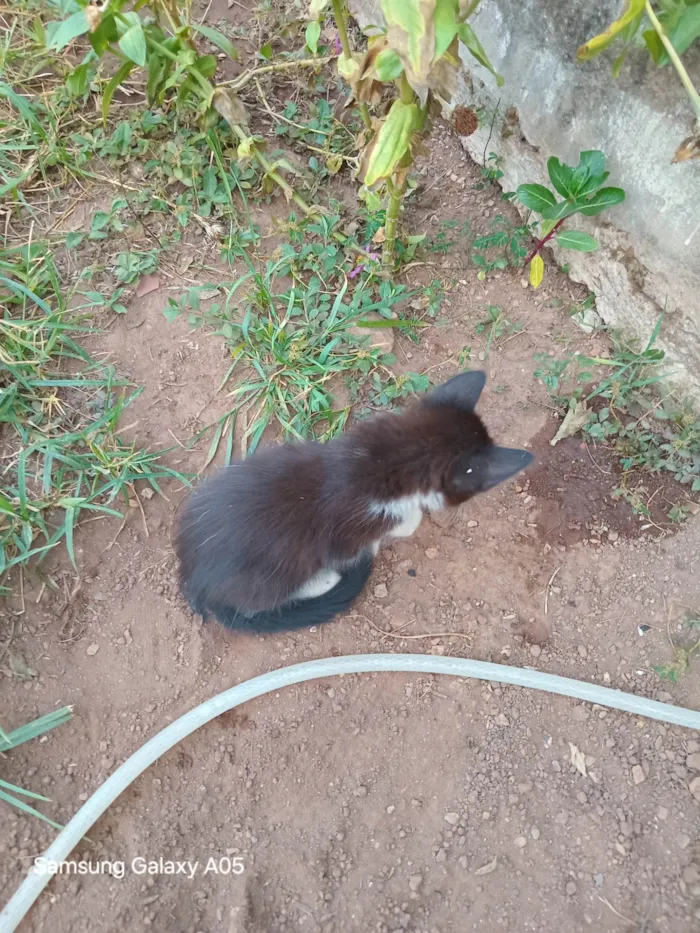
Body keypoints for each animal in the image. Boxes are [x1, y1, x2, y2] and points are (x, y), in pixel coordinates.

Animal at [175, 372, 532, 632]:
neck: (388, 461)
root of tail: (195, 582)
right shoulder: (356, 529)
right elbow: (401, 524)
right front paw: (411, 520)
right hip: (271, 575)